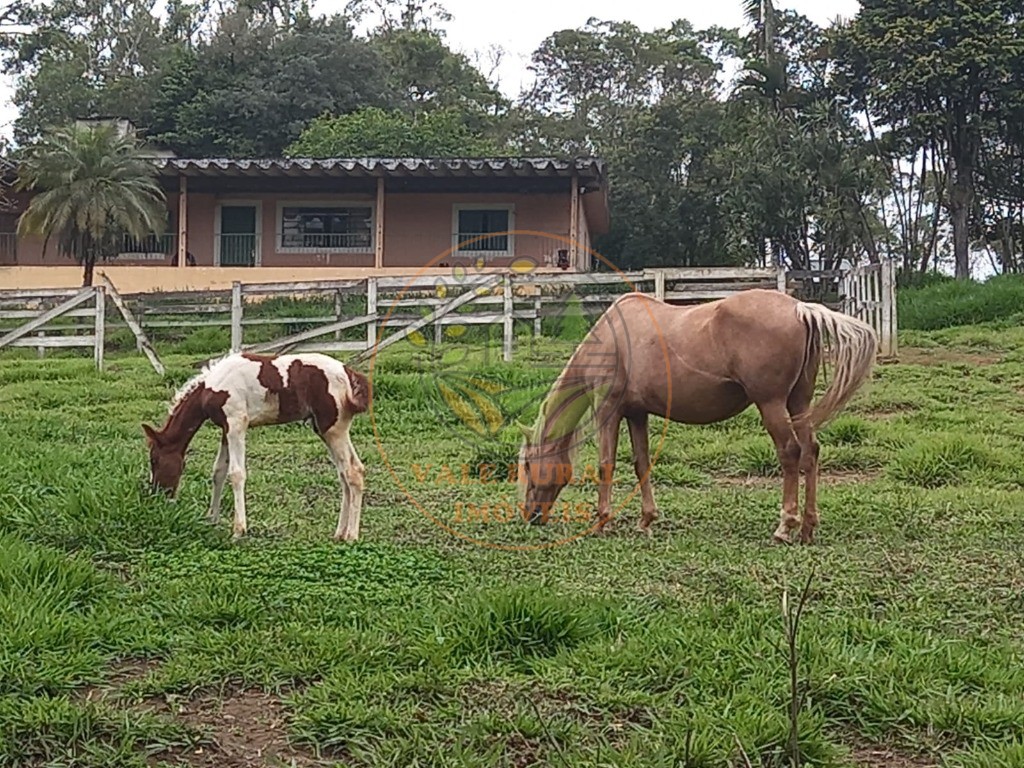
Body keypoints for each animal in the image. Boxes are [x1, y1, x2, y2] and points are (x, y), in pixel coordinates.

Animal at [142, 354, 370, 540]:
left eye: (154, 459)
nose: (157, 495)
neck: (212, 386)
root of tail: (349, 373)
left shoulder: (236, 424)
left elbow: (236, 474)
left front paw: (238, 530)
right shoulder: (226, 429)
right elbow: (219, 472)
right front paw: (212, 519)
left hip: (333, 429)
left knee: (352, 472)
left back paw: (351, 536)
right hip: (325, 430)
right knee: (346, 474)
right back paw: (339, 533)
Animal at [520, 288, 880, 548]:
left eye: (526, 466)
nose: (529, 515)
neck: (614, 338)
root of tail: (800, 309)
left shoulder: (608, 410)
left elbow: (606, 464)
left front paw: (601, 521)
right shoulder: (637, 414)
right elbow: (641, 463)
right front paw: (646, 520)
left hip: (772, 404)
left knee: (790, 453)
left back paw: (784, 527)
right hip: (798, 402)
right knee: (810, 452)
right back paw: (807, 527)